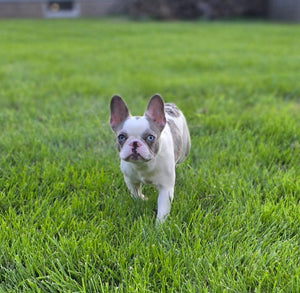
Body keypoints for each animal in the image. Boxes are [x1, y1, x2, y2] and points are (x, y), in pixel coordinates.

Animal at [109, 94, 190, 222]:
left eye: (150, 137)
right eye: (121, 137)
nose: (135, 143)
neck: (143, 165)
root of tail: (170, 106)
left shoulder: (165, 189)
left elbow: (163, 210)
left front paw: (160, 225)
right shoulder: (131, 180)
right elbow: (135, 193)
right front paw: (141, 200)